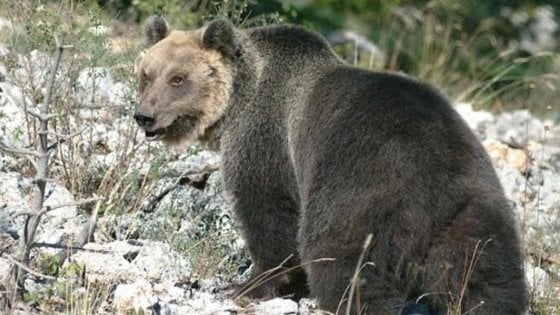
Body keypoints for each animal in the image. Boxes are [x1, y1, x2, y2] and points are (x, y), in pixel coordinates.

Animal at [133, 17, 528, 315]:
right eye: (147, 74)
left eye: (179, 78)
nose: (145, 116)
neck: (236, 102)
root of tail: (433, 183)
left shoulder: (267, 141)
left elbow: (267, 212)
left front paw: (245, 285)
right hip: (475, 213)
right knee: (485, 282)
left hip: (360, 192)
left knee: (344, 262)